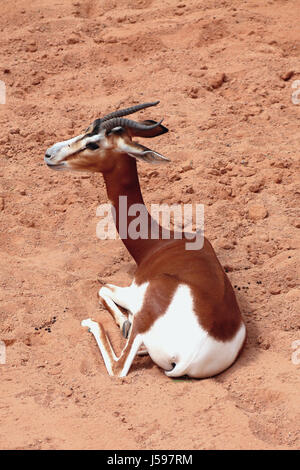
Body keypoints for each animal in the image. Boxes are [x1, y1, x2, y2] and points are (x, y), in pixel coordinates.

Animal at [44, 102, 246, 378]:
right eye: (86, 129)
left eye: (94, 144)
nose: (49, 154)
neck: (159, 242)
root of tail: (189, 358)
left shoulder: (132, 290)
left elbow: (102, 288)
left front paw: (122, 322)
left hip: (142, 319)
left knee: (118, 366)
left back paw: (96, 323)